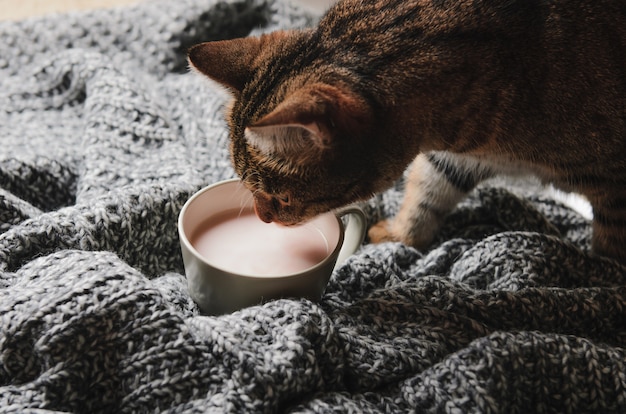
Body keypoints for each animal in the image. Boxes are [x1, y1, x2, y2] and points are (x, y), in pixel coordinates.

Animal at [188, 0, 624, 264]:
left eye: (280, 198)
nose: (262, 219)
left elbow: (610, 247)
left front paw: (596, 279)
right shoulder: (452, 159)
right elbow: (428, 193)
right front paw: (401, 235)